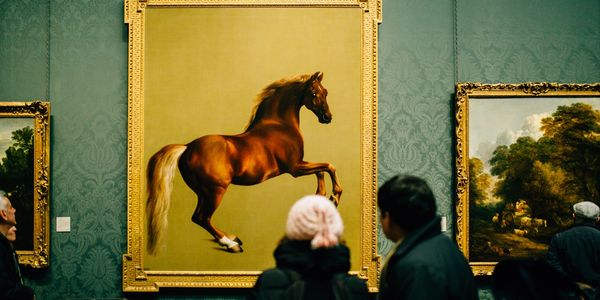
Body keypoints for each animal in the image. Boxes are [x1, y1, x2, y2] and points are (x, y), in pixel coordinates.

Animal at [146, 72, 342, 253]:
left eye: (325, 92)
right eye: (313, 93)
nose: (327, 117)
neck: (279, 125)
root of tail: (187, 147)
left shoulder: (300, 164)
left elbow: (321, 170)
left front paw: (322, 198)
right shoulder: (295, 168)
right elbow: (329, 166)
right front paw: (334, 197)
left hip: (203, 192)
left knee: (199, 218)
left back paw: (232, 238)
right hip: (215, 191)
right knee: (202, 218)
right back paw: (231, 244)